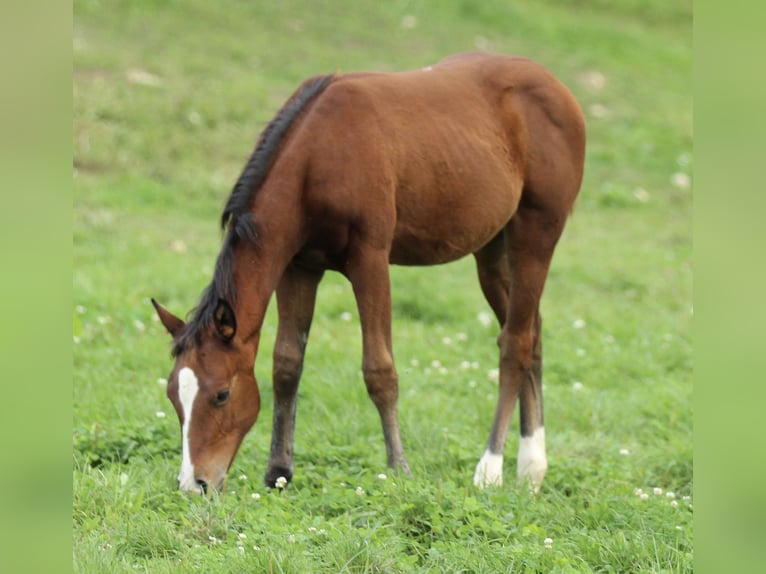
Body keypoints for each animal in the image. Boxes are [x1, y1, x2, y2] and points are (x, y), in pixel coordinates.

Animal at [152, 51, 585, 494]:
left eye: (222, 394)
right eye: (173, 395)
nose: (194, 483)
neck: (316, 156)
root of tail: (557, 89)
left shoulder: (370, 261)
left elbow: (379, 370)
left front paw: (399, 469)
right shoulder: (298, 267)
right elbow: (286, 364)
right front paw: (279, 471)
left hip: (536, 234)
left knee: (515, 342)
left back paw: (493, 467)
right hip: (491, 249)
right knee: (530, 330)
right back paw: (532, 468)